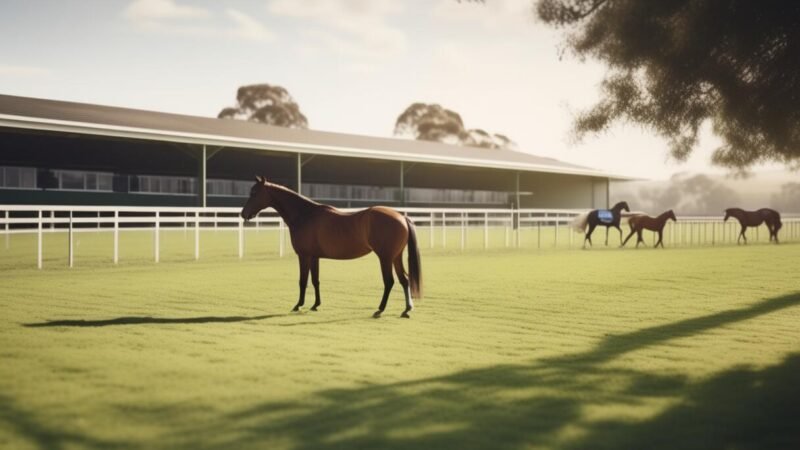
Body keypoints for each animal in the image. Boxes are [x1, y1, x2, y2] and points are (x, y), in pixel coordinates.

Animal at [241, 176, 422, 318]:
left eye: (254, 193)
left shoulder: (304, 255)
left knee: (389, 281)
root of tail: (401, 217)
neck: (305, 215)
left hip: (385, 258)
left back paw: (380, 310)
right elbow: (315, 281)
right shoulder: (314, 257)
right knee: (404, 280)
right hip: (396, 257)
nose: (243, 214)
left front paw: (298, 305)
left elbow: (303, 281)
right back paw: (406, 310)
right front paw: (315, 305)